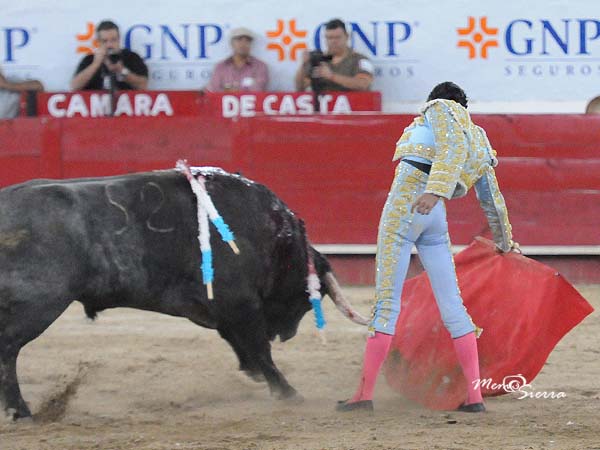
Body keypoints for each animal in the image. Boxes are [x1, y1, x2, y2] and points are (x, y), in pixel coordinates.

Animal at [0, 167, 368, 420]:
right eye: (305, 299)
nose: (286, 333)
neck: (270, 234)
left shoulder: (224, 308)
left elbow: (243, 345)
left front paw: (256, 374)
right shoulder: (241, 303)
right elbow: (259, 349)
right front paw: (288, 393)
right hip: (39, 305)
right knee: (8, 349)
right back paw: (21, 411)